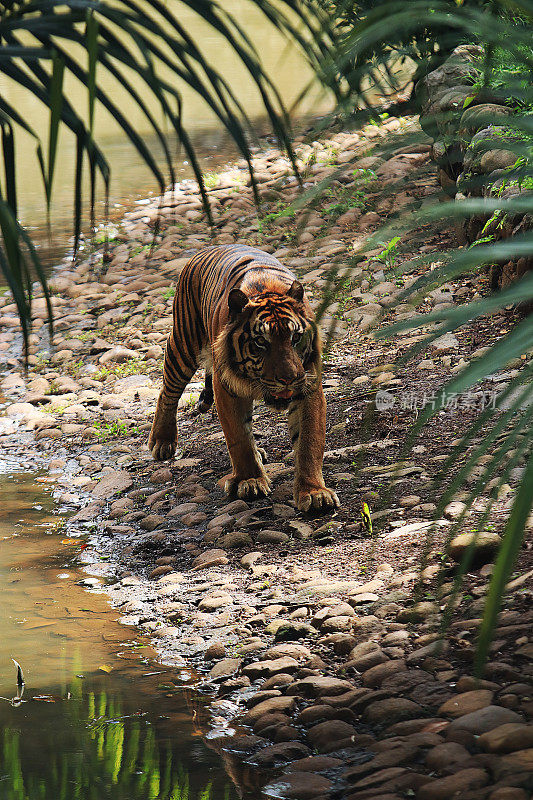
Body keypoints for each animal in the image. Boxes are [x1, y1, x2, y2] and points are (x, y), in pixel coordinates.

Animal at [147, 242, 336, 512]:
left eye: (295, 338)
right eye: (261, 342)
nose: (288, 379)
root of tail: (208, 248)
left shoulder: (309, 385)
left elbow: (309, 442)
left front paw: (314, 492)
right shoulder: (226, 388)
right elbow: (239, 438)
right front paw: (250, 481)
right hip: (183, 344)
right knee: (167, 391)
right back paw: (162, 441)